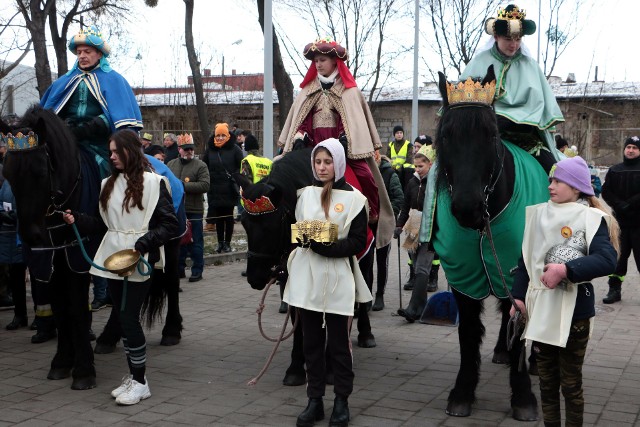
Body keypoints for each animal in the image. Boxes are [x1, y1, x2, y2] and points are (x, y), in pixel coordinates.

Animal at [432, 67, 548, 422]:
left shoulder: (518, 269)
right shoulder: (463, 275)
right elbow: (469, 332)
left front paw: (523, 397)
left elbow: (520, 326)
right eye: (445, 137)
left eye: (492, 135)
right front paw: (462, 392)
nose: (467, 208)